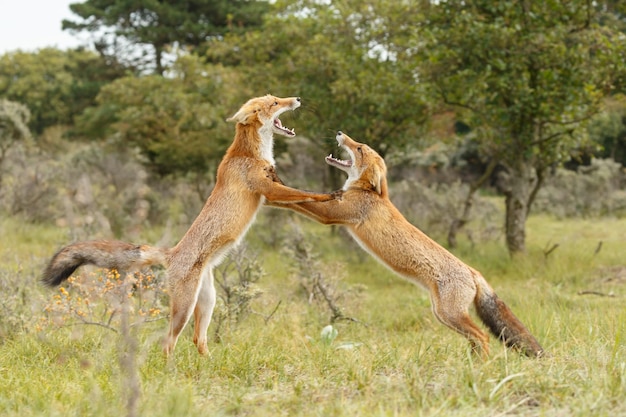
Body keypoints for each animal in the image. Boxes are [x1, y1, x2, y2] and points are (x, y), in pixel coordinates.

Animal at [41, 95, 338, 354]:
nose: (297, 98)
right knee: (168, 342)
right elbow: (306, 192)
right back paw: (170, 373)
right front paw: (329, 195)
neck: (251, 152)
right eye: (275, 102)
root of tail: (171, 254)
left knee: (198, 339)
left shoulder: (268, 197)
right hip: (184, 308)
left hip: (208, 301)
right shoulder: (268, 190)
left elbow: (301, 199)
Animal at [268, 131, 540, 358]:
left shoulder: (332, 215)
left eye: (359, 148)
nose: (340, 133)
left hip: (449, 314)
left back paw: (479, 366)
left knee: (483, 336)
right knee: (476, 339)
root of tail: (473, 271)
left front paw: (273, 187)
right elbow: (298, 198)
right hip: (443, 315)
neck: (369, 193)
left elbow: (300, 198)